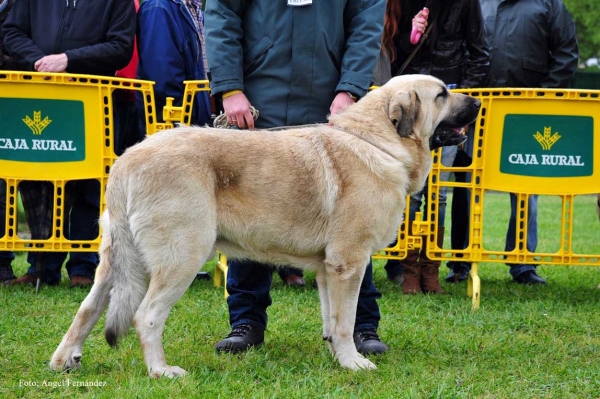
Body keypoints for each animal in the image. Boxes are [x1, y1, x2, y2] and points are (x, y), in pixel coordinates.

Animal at [50, 75, 482, 378]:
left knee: (88, 307)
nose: (478, 101)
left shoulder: (328, 269)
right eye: (442, 95)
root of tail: (126, 160)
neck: (379, 142)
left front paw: (336, 356)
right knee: (146, 316)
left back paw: (65, 360)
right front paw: (352, 364)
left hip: (120, 261)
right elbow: (345, 322)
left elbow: (332, 320)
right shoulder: (349, 263)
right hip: (182, 257)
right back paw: (161, 371)